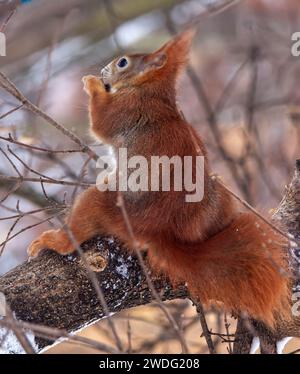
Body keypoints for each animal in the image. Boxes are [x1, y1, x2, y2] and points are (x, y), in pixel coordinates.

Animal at [27, 30, 290, 326]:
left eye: (123, 62)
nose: (103, 69)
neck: (153, 92)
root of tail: (161, 230)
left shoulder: (127, 110)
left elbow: (101, 122)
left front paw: (92, 84)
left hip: (109, 209)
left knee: (81, 224)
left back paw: (55, 240)